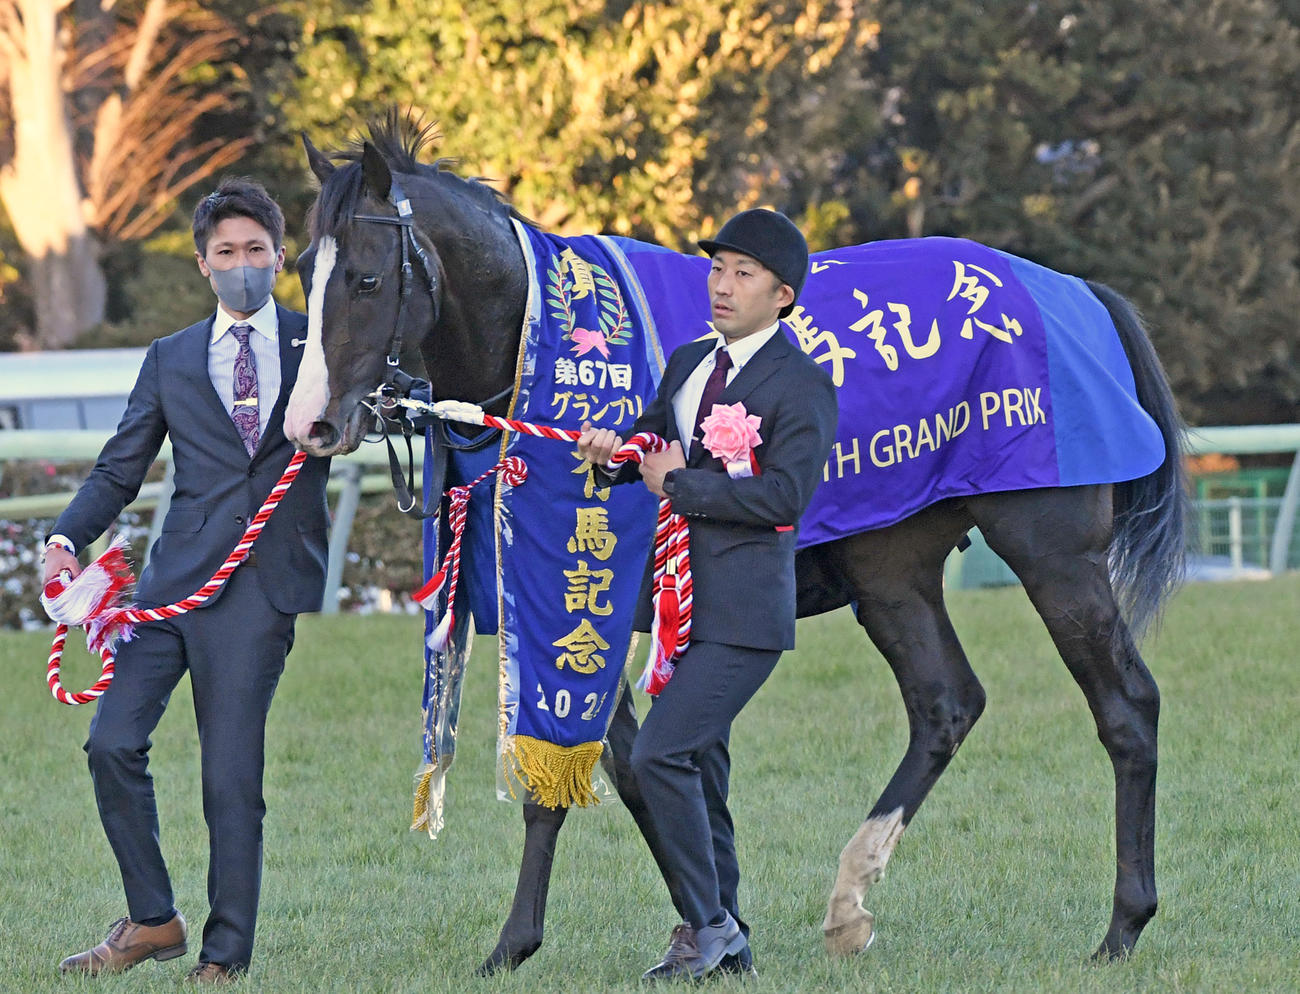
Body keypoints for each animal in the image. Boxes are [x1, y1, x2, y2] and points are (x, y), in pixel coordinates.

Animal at [283, 113, 1187, 973]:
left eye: (366, 279)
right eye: (301, 273)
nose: (311, 425)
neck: (540, 350)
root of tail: (1073, 293)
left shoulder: (585, 595)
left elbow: (587, 777)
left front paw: (521, 942)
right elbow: (648, 773)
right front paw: (716, 929)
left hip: (1053, 553)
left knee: (1127, 705)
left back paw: (1123, 924)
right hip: (890, 566)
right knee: (946, 704)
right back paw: (850, 899)